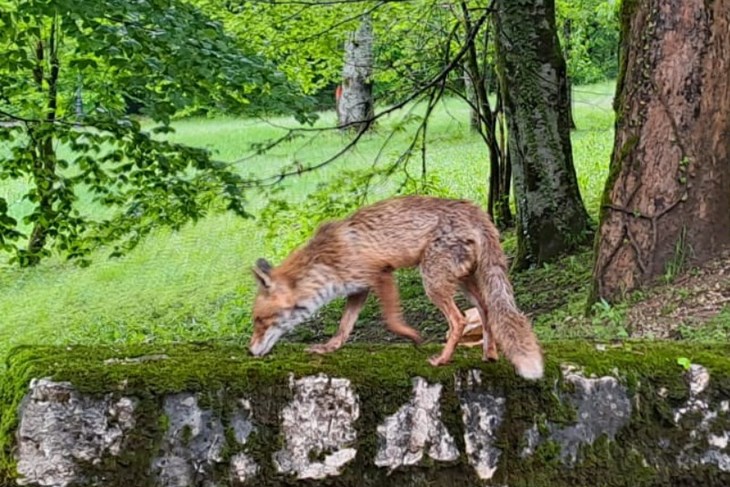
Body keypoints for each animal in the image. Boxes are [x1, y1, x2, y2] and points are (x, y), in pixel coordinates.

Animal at [249, 196, 540, 380]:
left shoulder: (381, 274)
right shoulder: (358, 290)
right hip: (464, 281)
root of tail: (476, 211)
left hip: (432, 282)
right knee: (487, 311)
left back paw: (442, 359)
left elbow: (390, 319)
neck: (326, 262)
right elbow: (344, 327)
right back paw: (489, 354)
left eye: (259, 321)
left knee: (459, 320)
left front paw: (411, 336)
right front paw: (328, 348)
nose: (250, 351)